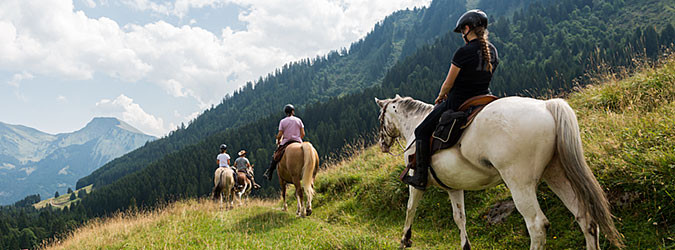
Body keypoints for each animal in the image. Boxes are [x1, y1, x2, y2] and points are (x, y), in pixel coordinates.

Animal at [374, 94, 624, 249]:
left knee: (537, 225)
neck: (415, 125)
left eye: (380, 119)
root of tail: (546, 106)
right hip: (556, 174)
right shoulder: (453, 187)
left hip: (519, 183)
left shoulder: (416, 183)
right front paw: (465, 246)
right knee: (585, 217)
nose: (382, 145)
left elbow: (410, 209)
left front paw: (405, 240)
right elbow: (459, 218)